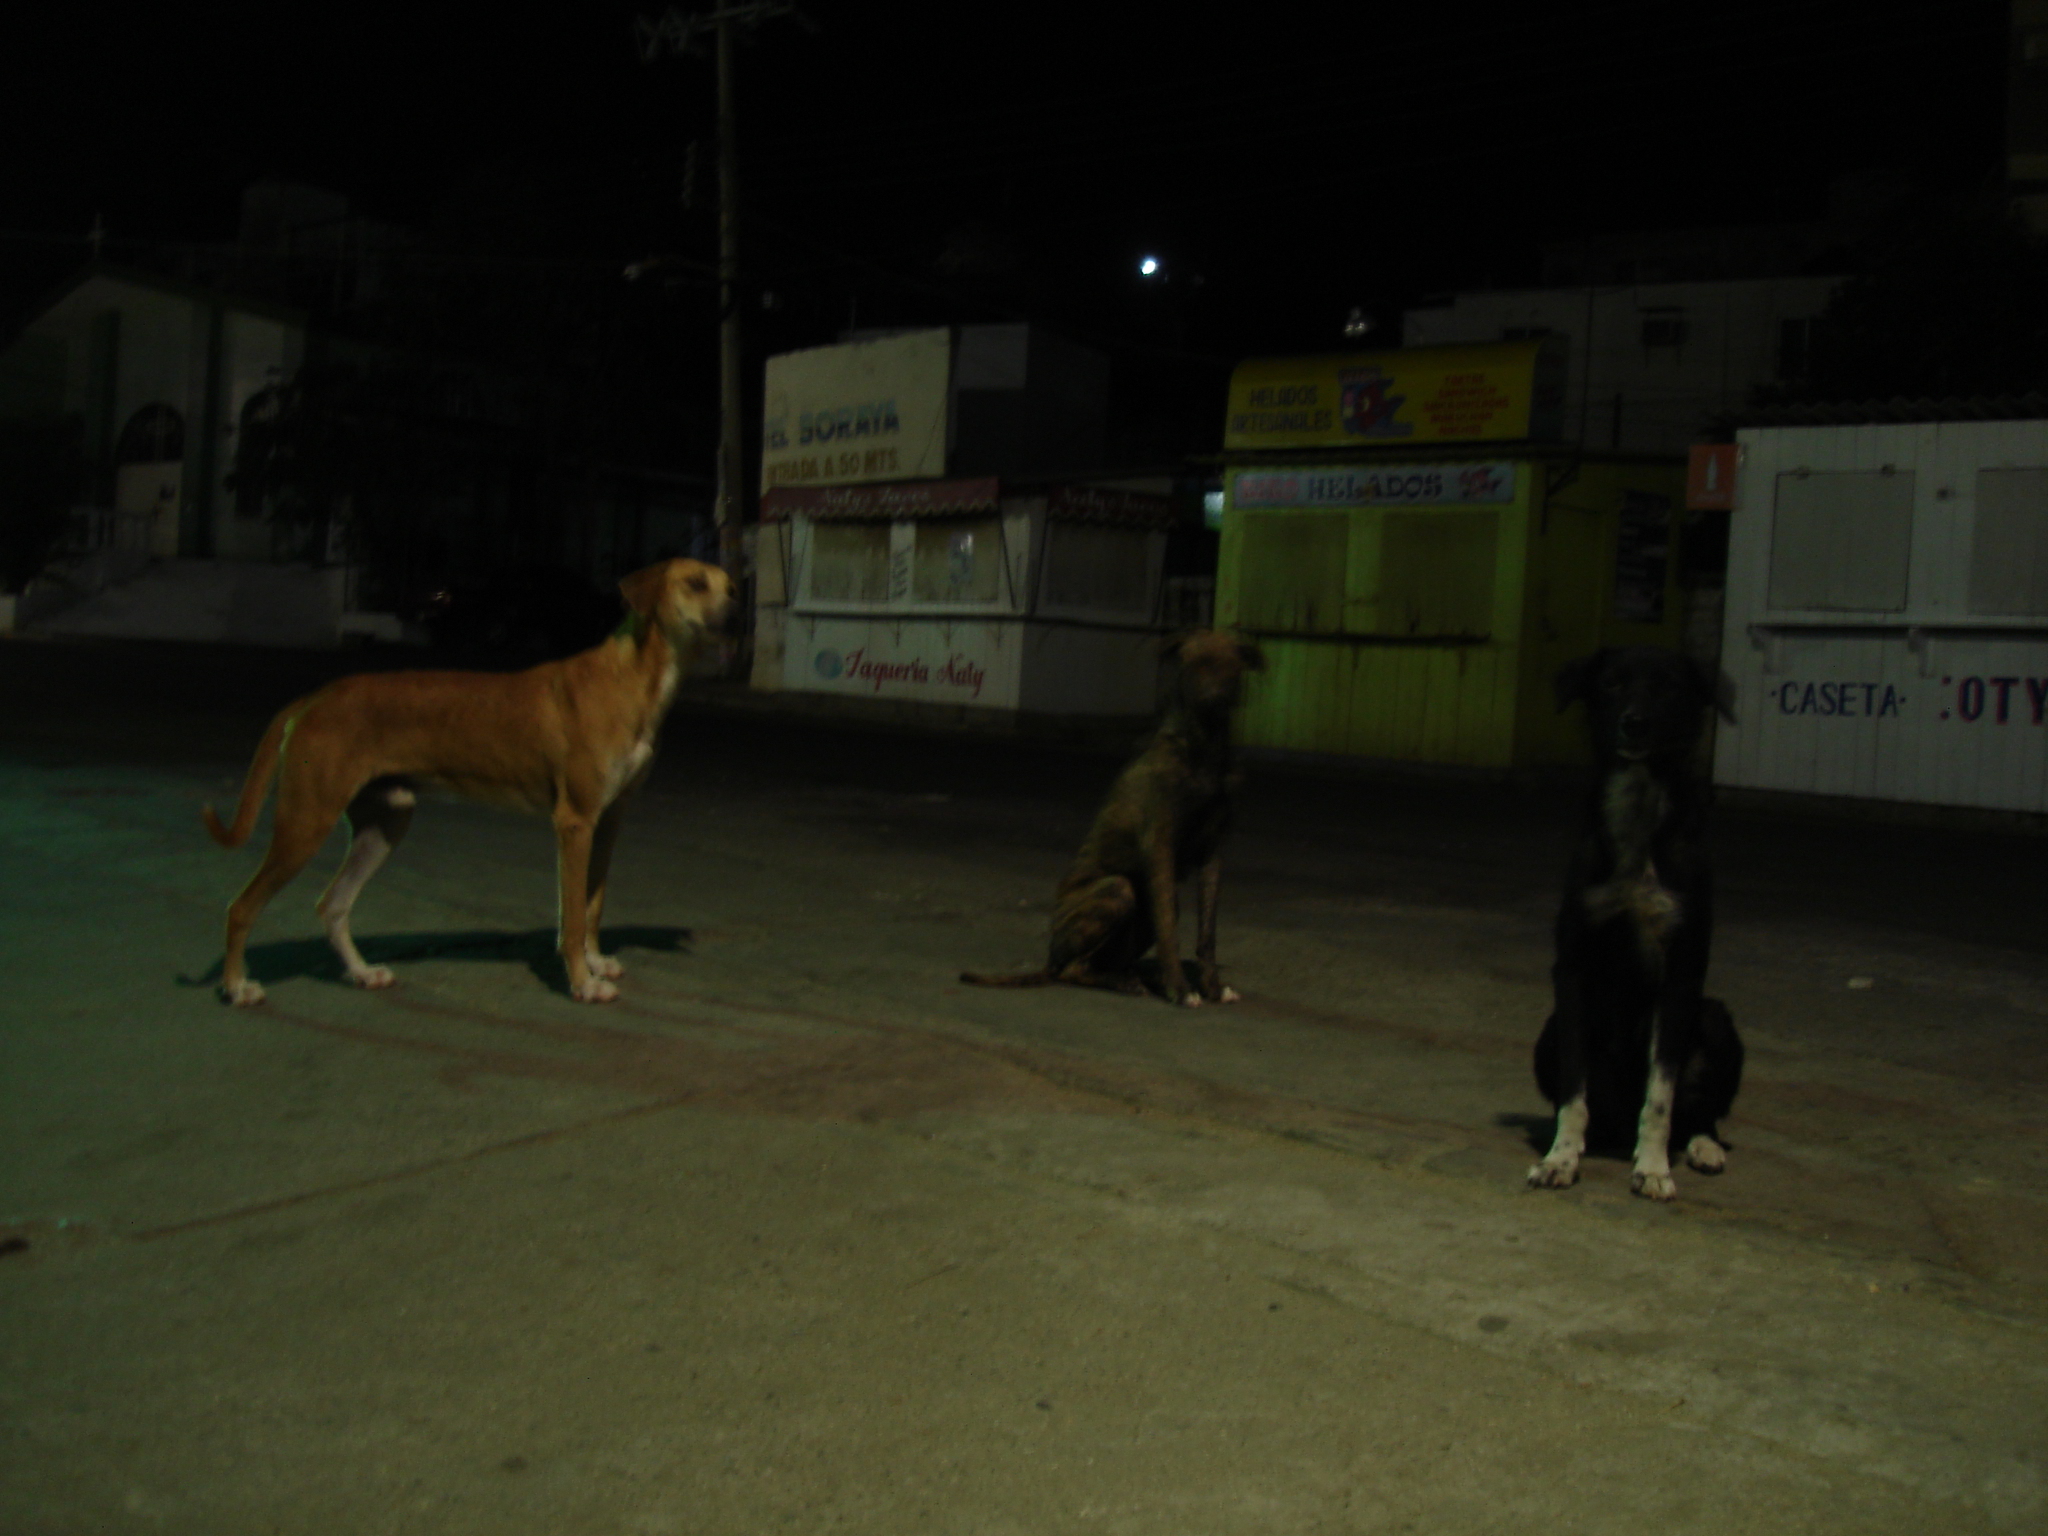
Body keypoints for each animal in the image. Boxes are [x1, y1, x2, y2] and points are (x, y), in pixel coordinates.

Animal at [199, 561, 741, 1003]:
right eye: (695, 583)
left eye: (733, 588)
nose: (738, 615)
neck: (634, 676)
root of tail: (316, 696)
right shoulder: (575, 823)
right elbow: (570, 917)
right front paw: (582, 983)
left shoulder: (608, 821)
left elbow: (593, 906)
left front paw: (595, 963)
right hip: (306, 823)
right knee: (240, 908)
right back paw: (236, 987)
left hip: (385, 824)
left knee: (332, 905)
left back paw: (362, 973)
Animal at [958, 626, 1261, 1011]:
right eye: (1194, 665)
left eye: (1230, 669)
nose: (1214, 698)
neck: (1203, 746)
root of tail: (1049, 958)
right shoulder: (1160, 847)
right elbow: (1169, 931)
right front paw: (1180, 988)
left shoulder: (1212, 854)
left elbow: (1207, 933)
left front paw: (1212, 986)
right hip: (1116, 891)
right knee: (1074, 967)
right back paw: (1126, 981)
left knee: (1099, 963)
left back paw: (1132, 977)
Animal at [1523, 647, 1744, 1204]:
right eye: (1611, 683)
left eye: (1668, 687)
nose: (1634, 721)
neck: (1639, 808)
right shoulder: (1573, 968)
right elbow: (1573, 1089)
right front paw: (1560, 1157)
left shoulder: (1682, 973)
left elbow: (1661, 1093)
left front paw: (1653, 1167)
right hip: (1547, 1034)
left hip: (1716, 1021)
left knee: (1697, 1114)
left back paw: (1703, 1147)